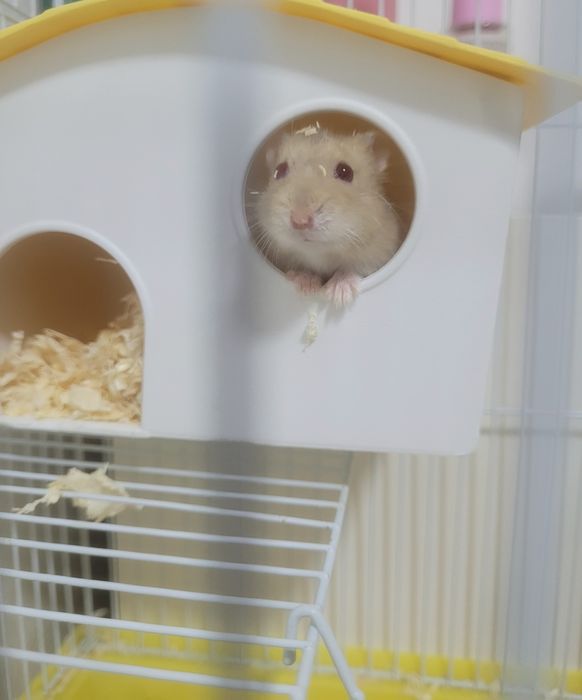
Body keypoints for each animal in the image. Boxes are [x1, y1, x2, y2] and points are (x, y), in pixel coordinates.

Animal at [253, 128, 402, 307]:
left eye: (346, 171)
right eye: (279, 170)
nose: (300, 221)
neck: (320, 254)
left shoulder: (382, 251)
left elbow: (354, 268)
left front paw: (338, 296)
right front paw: (307, 287)